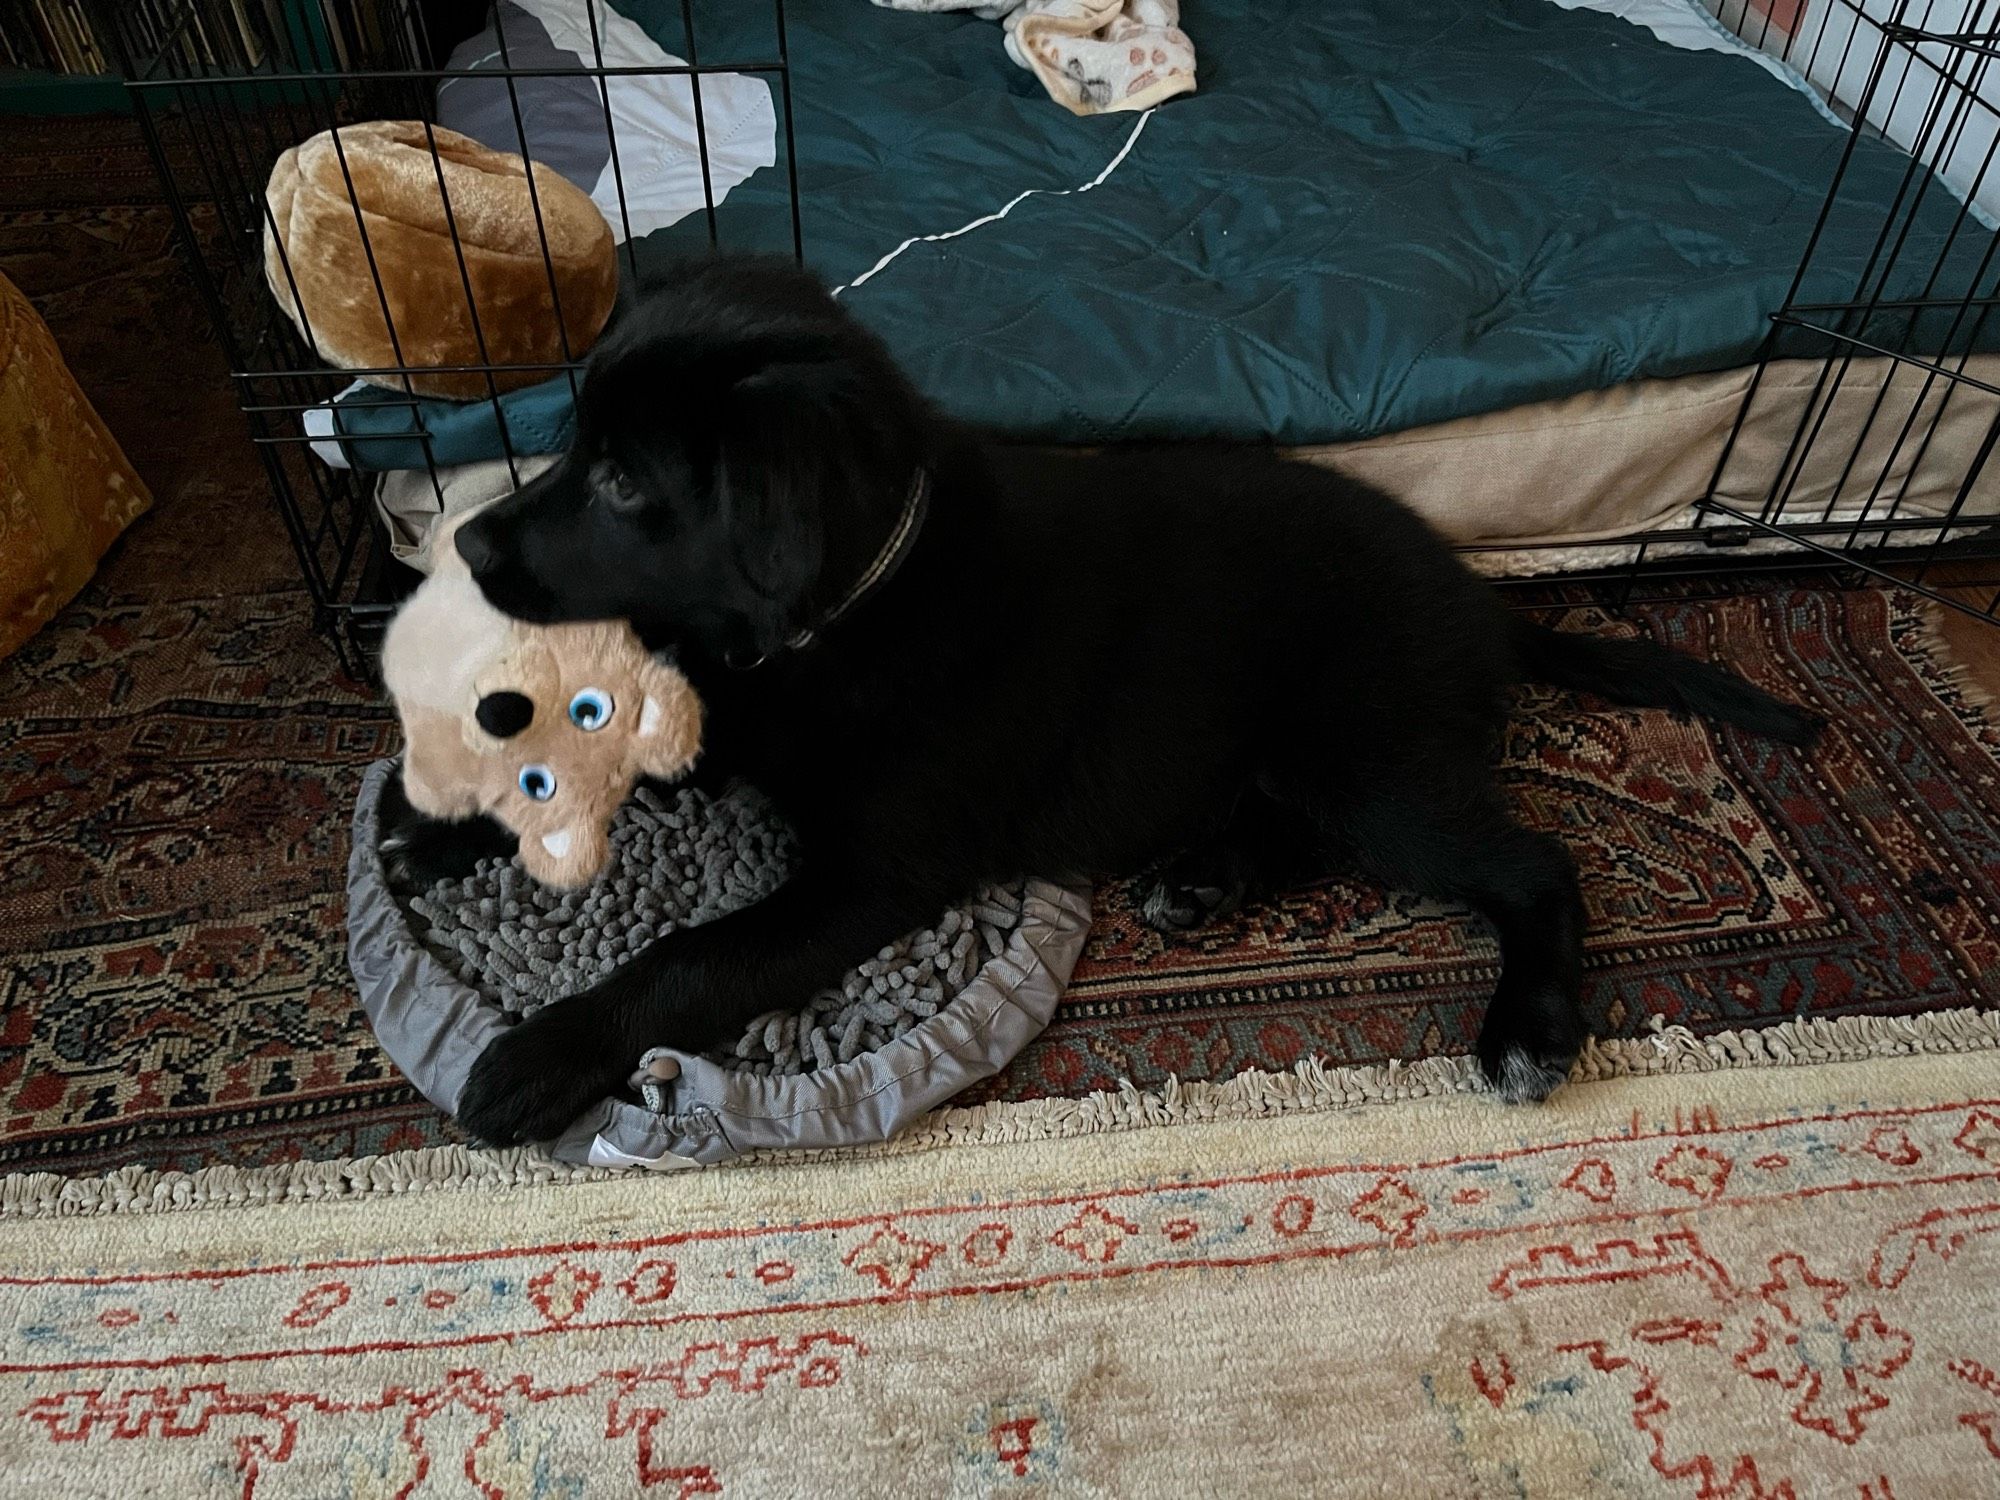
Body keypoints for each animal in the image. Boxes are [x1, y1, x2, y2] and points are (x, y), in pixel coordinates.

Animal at [402, 262, 1816, 1152]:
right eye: (576, 445)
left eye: (622, 484)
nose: (465, 545)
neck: (847, 607)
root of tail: (1481, 599)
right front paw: (442, 826)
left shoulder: (870, 878)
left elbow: (690, 954)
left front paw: (542, 1054)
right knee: (1294, 823)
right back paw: (1203, 878)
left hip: (1371, 760)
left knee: (1533, 865)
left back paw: (1526, 1024)